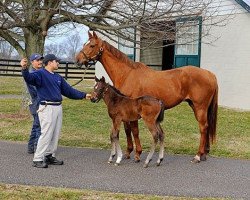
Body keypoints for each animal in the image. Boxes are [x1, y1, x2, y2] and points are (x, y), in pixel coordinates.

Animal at [75, 30, 218, 162]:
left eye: (92, 45)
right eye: (84, 44)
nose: (77, 60)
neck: (127, 73)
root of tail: (209, 74)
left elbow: (134, 131)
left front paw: (137, 154)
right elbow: (127, 130)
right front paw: (128, 152)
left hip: (200, 107)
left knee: (203, 127)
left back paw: (198, 156)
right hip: (195, 106)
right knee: (206, 127)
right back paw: (204, 154)